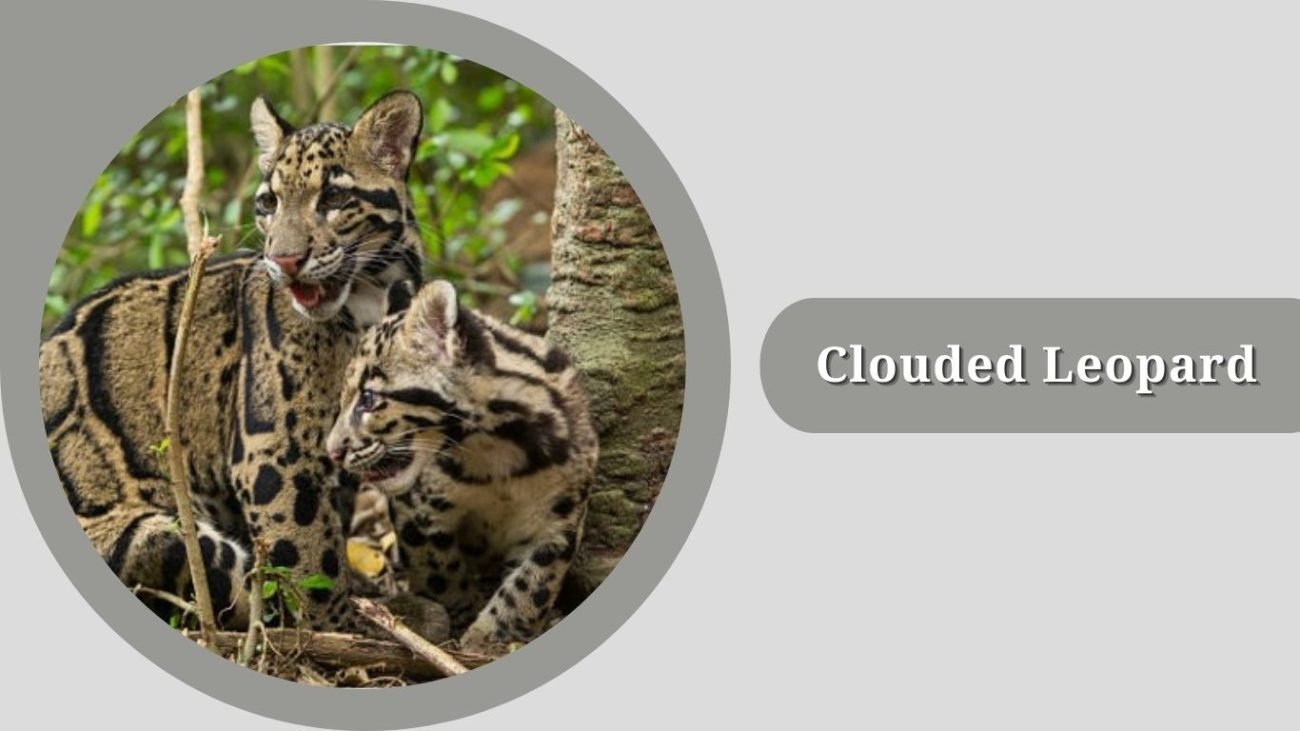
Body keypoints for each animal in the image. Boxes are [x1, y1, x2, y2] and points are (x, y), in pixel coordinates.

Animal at [39, 91, 428, 631]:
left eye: (333, 199)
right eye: (269, 204)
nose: (284, 259)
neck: (370, 295)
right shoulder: (276, 452)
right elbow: (308, 554)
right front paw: (335, 629)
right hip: (153, 536)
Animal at [325, 279, 598, 650]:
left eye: (368, 398)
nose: (332, 451)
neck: (495, 452)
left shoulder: (559, 522)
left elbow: (531, 586)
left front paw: (493, 638)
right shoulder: (419, 513)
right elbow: (440, 571)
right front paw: (463, 615)